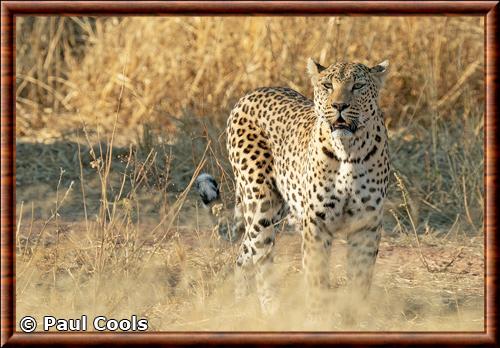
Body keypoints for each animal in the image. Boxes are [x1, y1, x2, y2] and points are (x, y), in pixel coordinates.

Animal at [195, 57, 390, 320]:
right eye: (328, 85)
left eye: (358, 86)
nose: (339, 105)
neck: (348, 150)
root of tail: (251, 93)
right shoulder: (316, 221)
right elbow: (316, 276)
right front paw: (317, 317)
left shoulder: (366, 223)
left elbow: (361, 277)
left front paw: (356, 314)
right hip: (261, 204)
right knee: (261, 256)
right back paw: (271, 311)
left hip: (277, 208)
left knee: (244, 252)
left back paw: (241, 304)